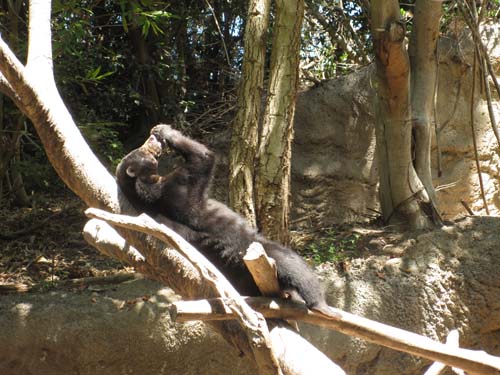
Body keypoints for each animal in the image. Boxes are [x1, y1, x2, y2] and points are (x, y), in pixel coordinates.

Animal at [116, 125, 334, 318]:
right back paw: (320, 305)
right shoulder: (177, 188)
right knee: (295, 267)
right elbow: (202, 158)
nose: (152, 140)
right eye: (142, 151)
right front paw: (166, 131)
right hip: (260, 253)